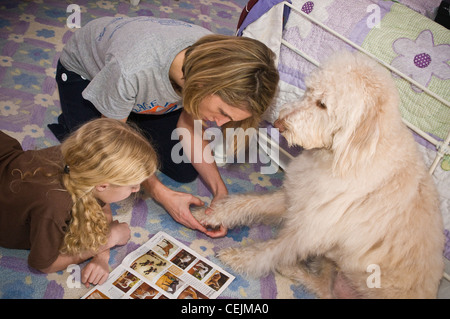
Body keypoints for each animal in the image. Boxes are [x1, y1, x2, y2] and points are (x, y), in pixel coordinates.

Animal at [195, 51, 444, 298]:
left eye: (323, 104)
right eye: (308, 90)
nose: (278, 123)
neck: (344, 156)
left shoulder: (307, 232)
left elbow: (269, 251)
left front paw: (237, 257)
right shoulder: (296, 197)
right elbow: (245, 203)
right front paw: (208, 214)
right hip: (331, 263)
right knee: (323, 287)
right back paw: (292, 270)